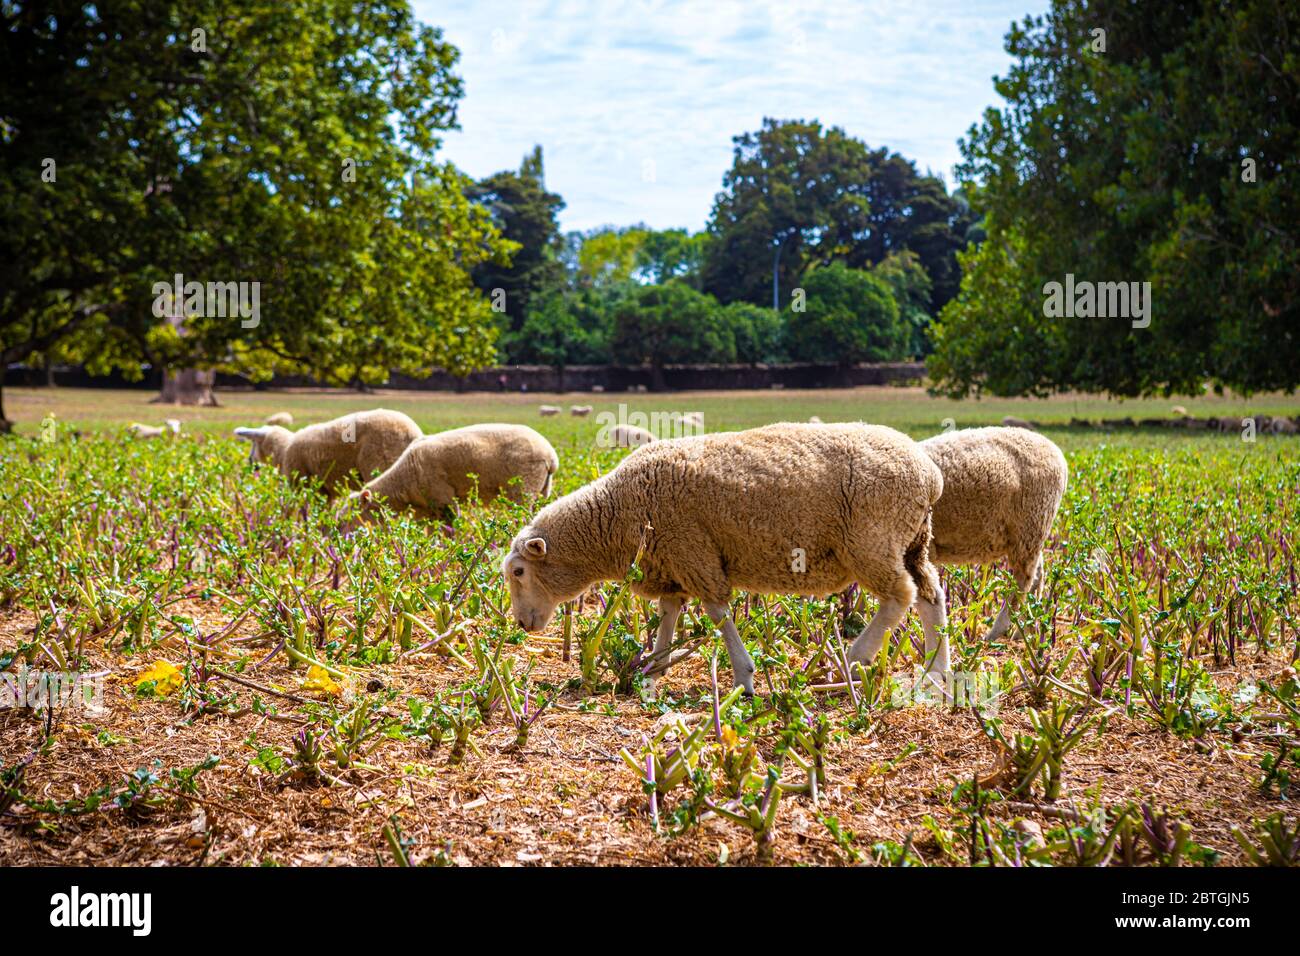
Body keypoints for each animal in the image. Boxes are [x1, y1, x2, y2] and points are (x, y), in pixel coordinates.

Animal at [233, 408, 421, 495]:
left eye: (253, 443)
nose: (250, 462)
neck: (284, 450)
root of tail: (412, 433)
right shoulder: (326, 491)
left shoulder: (303, 484)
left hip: (381, 464)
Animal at [350, 424, 558, 519]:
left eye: (349, 518)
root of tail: (551, 456)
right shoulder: (428, 509)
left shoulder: (443, 498)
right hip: (542, 491)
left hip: (523, 488)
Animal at [502, 422, 948, 695]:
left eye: (520, 571)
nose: (523, 624)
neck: (617, 514)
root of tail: (930, 475)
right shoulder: (672, 564)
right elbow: (668, 616)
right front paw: (652, 672)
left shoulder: (693, 552)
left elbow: (718, 614)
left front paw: (743, 678)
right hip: (911, 541)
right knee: (931, 596)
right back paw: (937, 674)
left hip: (872, 539)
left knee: (899, 596)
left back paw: (855, 658)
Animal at [907, 426, 1068, 643]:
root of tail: (1054, 449)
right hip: (1032, 533)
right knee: (1037, 577)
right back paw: (1024, 631)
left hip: (1031, 524)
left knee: (1022, 582)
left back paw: (997, 632)